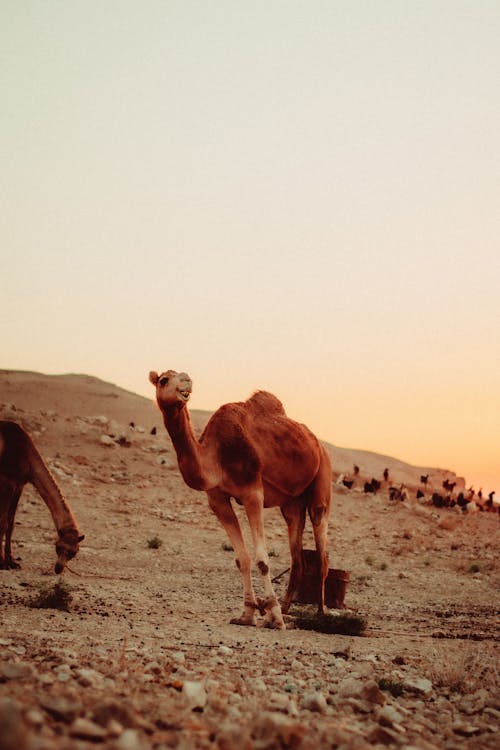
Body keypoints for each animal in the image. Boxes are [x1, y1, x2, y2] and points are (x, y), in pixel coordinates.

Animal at [0, 424, 84, 576]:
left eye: (73, 552)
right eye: (58, 546)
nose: (58, 568)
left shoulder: (19, 485)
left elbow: (11, 523)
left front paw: (11, 562)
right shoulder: (6, 483)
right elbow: (3, 523)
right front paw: (2, 563)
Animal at [150, 370, 334, 628]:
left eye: (181, 376)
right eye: (164, 380)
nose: (186, 381)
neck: (215, 457)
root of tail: (317, 442)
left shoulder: (252, 492)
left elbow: (262, 559)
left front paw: (273, 616)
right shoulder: (217, 499)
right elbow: (242, 558)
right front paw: (248, 614)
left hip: (322, 479)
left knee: (322, 551)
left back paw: (319, 613)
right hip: (293, 502)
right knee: (298, 558)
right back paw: (288, 608)